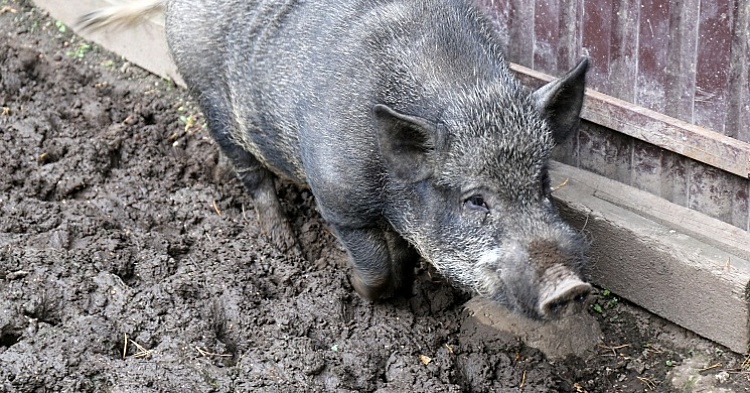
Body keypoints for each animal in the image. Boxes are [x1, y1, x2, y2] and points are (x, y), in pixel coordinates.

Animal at [78, 0, 592, 318]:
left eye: (542, 183)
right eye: (475, 200)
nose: (571, 287)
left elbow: (402, 251)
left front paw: (408, 287)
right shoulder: (338, 202)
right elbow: (375, 263)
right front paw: (360, 290)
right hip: (212, 108)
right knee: (250, 174)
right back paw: (283, 246)